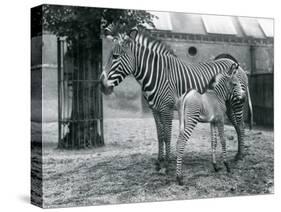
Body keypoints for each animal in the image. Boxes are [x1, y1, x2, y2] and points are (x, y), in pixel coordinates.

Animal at [100, 27, 252, 171]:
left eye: (115, 56)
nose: (102, 85)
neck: (157, 74)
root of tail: (235, 64)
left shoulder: (166, 108)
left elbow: (167, 135)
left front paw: (166, 164)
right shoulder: (154, 109)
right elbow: (160, 135)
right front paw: (159, 161)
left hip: (236, 101)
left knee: (241, 125)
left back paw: (240, 156)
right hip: (227, 104)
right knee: (237, 125)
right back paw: (238, 154)